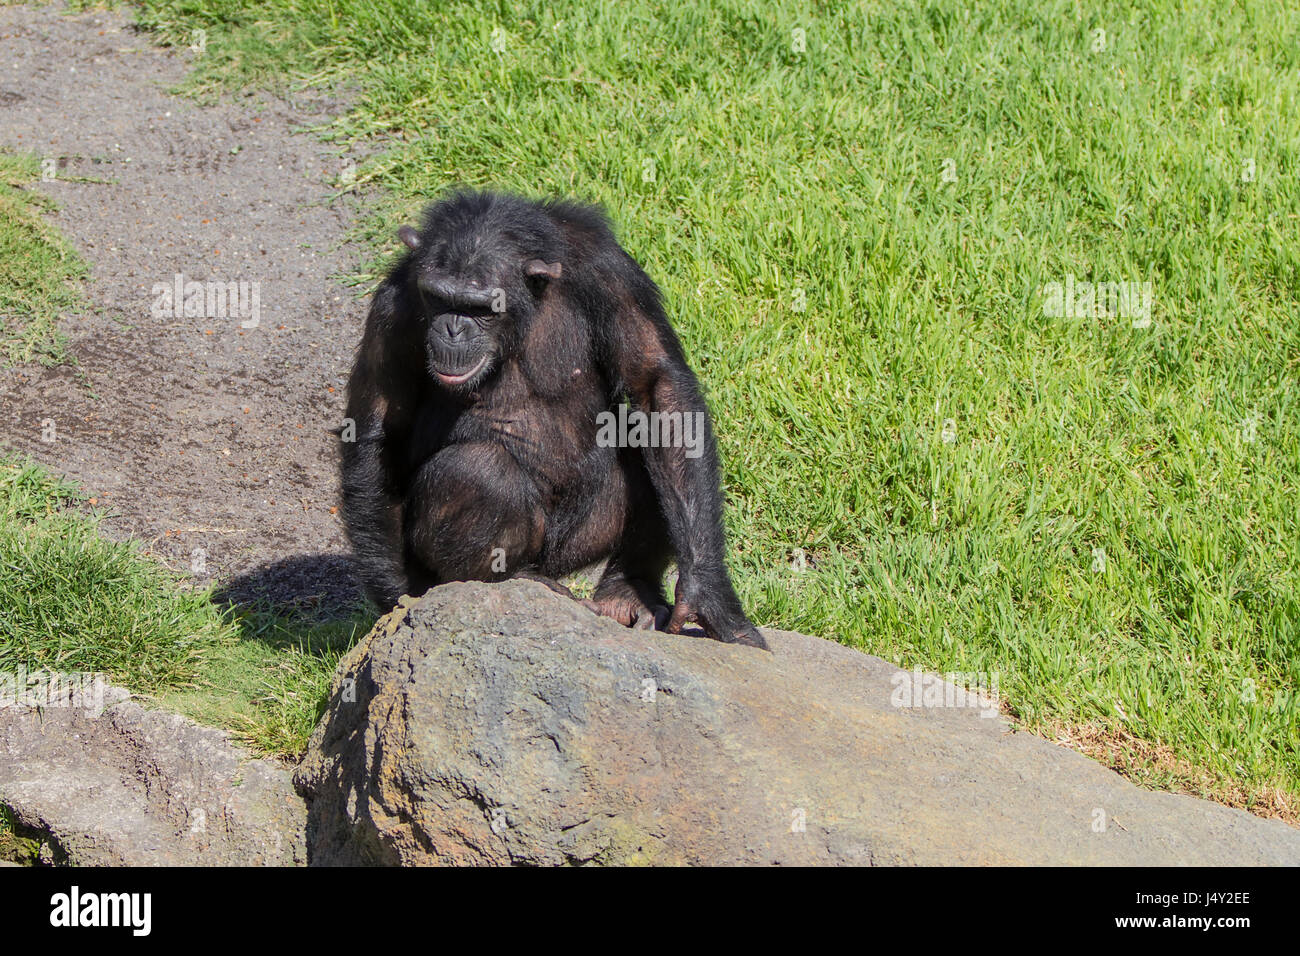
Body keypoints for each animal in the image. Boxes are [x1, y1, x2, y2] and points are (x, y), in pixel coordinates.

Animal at [340, 187, 764, 650]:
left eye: (480, 308)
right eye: (438, 298)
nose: (452, 329)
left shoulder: (609, 271)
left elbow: (657, 386)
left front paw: (708, 594)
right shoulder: (393, 306)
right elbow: (380, 430)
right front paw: (400, 599)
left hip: (581, 539)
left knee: (643, 438)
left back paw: (628, 590)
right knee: (481, 471)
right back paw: (503, 580)